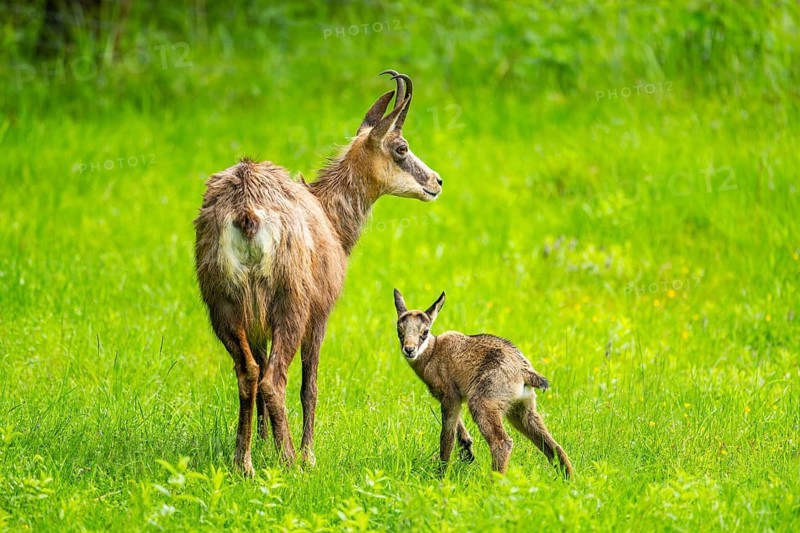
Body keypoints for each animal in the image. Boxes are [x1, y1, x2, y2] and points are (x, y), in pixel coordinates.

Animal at [194, 71, 442, 476]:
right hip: (290, 305)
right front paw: (308, 454)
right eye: (401, 148)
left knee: (249, 373)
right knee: (273, 381)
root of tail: (246, 211)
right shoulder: (320, 314)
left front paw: (263, 446)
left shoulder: (256, 326)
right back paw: (291, 460)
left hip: (224, 307)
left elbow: (259, 373)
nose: (437, 182)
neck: (330, 218)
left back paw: (244, 463)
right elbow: (309, 385)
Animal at [392, 289, 574, 479]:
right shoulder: (456, 400)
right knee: (554, 447)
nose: (409, 350)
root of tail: (523, 370)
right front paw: (467, 450)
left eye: (425, 331)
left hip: (483, 404)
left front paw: (442, 474)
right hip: (522, 411)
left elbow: (447, 435)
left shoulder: (450, 396)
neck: (433, 353)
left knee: (502, 442)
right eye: (399, 330)